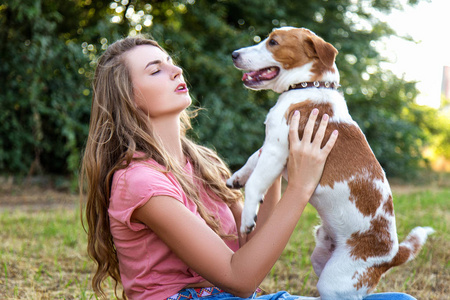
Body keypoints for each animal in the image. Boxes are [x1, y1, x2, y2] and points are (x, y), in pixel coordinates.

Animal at [227, 27, 434, 298]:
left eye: (273, 42)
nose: (234, 54)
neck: (305, 87)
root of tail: (391, 256)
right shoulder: (271, 146)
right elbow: (253, 158)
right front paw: (237, 177)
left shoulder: (276, 149)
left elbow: (255, 183)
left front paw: (248, 218)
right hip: (320, 259)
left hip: (334, 282)